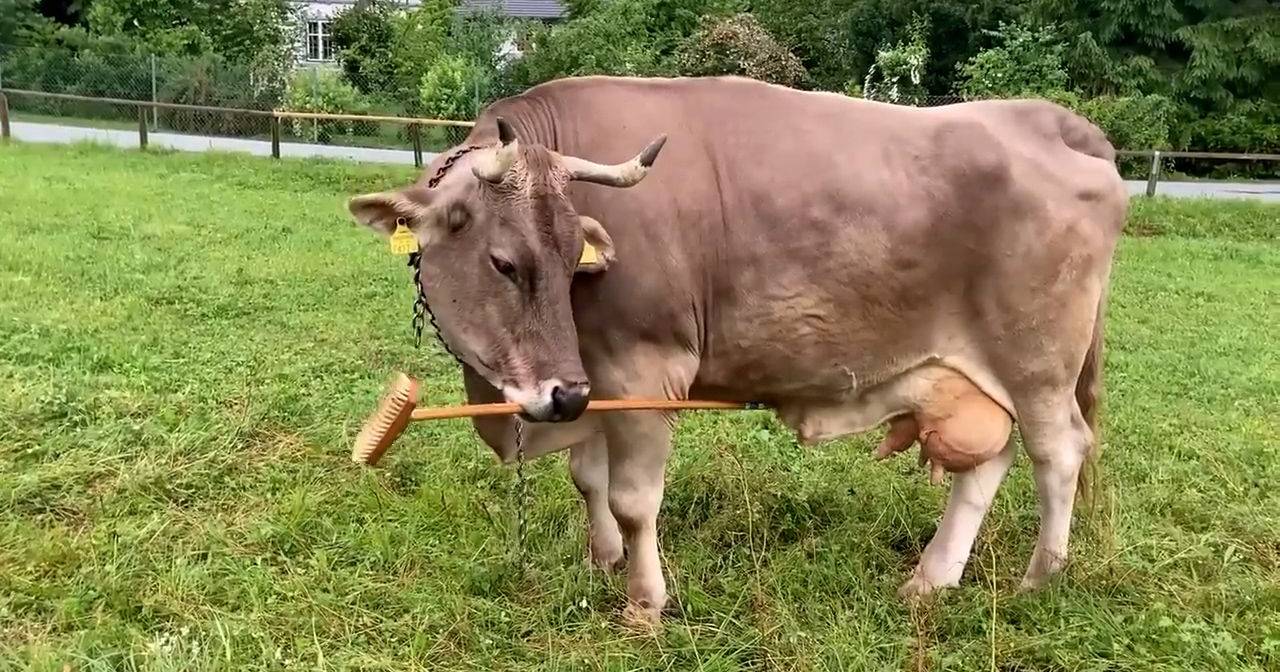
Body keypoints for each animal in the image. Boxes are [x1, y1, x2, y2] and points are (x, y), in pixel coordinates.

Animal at [346, 75, 1128, 625]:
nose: (557, 396)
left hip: (1038, 364)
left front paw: (644, 603)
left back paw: (1039, 578)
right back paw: (930, 580)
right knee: (988, 463)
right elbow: (587, 477)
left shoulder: (644, 366)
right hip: (980, 376)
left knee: (1058, 452)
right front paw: (601, 561)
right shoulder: (594, 376)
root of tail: (1050, 119)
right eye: (506, 263)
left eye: (572, 259)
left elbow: (634, 500)